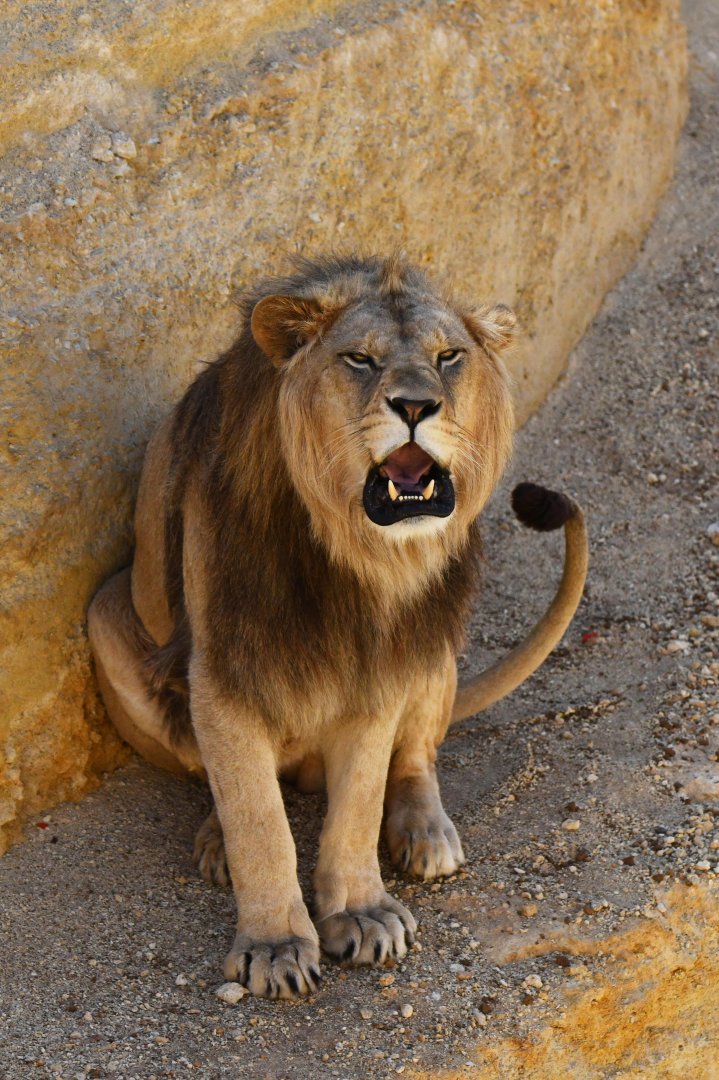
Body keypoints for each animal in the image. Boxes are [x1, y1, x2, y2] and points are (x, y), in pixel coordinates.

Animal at [88, 254, 587, 1000]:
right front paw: (272, 944)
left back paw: (425, 833)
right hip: (106, 617)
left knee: (414, 758)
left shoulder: (381, 665)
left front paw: (360, 910)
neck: (358, 555)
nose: (415, 407)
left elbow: (358, 801)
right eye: (359, 359)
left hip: (433, 646)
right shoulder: (224, 666)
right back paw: (217, 842)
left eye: (448, 357)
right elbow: (257, 816)